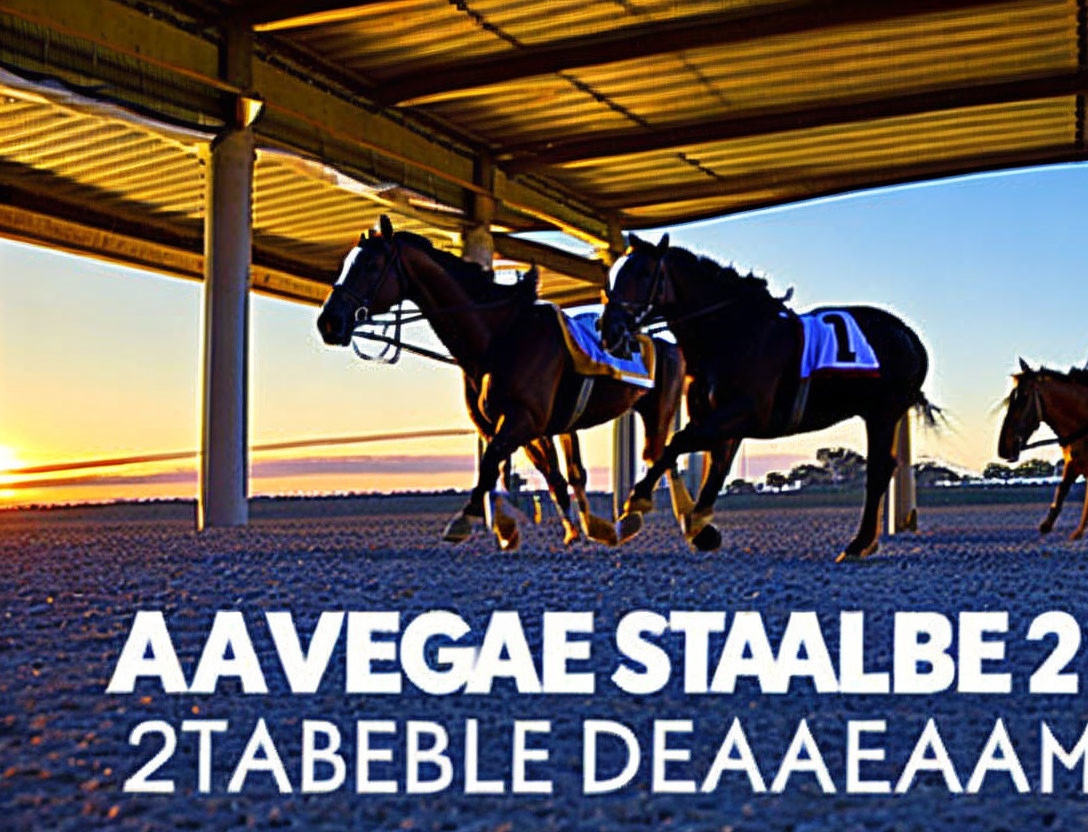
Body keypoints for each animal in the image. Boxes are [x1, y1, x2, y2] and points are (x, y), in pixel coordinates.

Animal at [315, 217, 691, 548]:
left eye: (370, 265)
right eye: (348, 264)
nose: (329, 322)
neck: (500, 337)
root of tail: (672, 346)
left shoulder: (524, 420)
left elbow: (491, 461)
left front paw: (467, 521)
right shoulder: (517, 426)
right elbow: (544, 473)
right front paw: (570, 531)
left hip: (658, 411)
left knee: (660, 456)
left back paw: (656, 516)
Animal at [596, 230, 935, 561]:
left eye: (643, 272)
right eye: (616, 273)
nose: (609, 330)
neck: (733, 332)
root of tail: (908, 334)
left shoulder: (743, 412)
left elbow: (677, 442)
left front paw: (637, 501)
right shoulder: (721, 420)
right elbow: (713, 469)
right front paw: (701, 528)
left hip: (883, 413)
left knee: (879, 470)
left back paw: (859, 543)